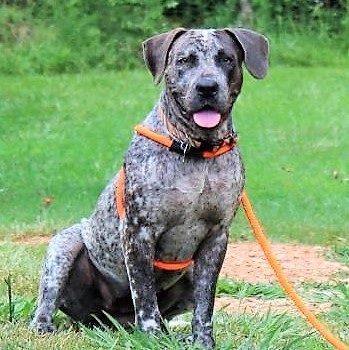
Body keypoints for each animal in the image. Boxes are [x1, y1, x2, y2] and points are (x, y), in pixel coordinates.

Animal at [30, 27, 270, 348]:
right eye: (184, 60)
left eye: (226, 59)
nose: (207, 87)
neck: (196, 151)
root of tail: (111, 321)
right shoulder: (139, 231)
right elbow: (144, 295)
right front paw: (151, 337)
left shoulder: (216, 238)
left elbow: (205, 304)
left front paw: (202, 341)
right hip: (64, 246)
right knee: (48, 299)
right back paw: (43, 326)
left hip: (188, 272)